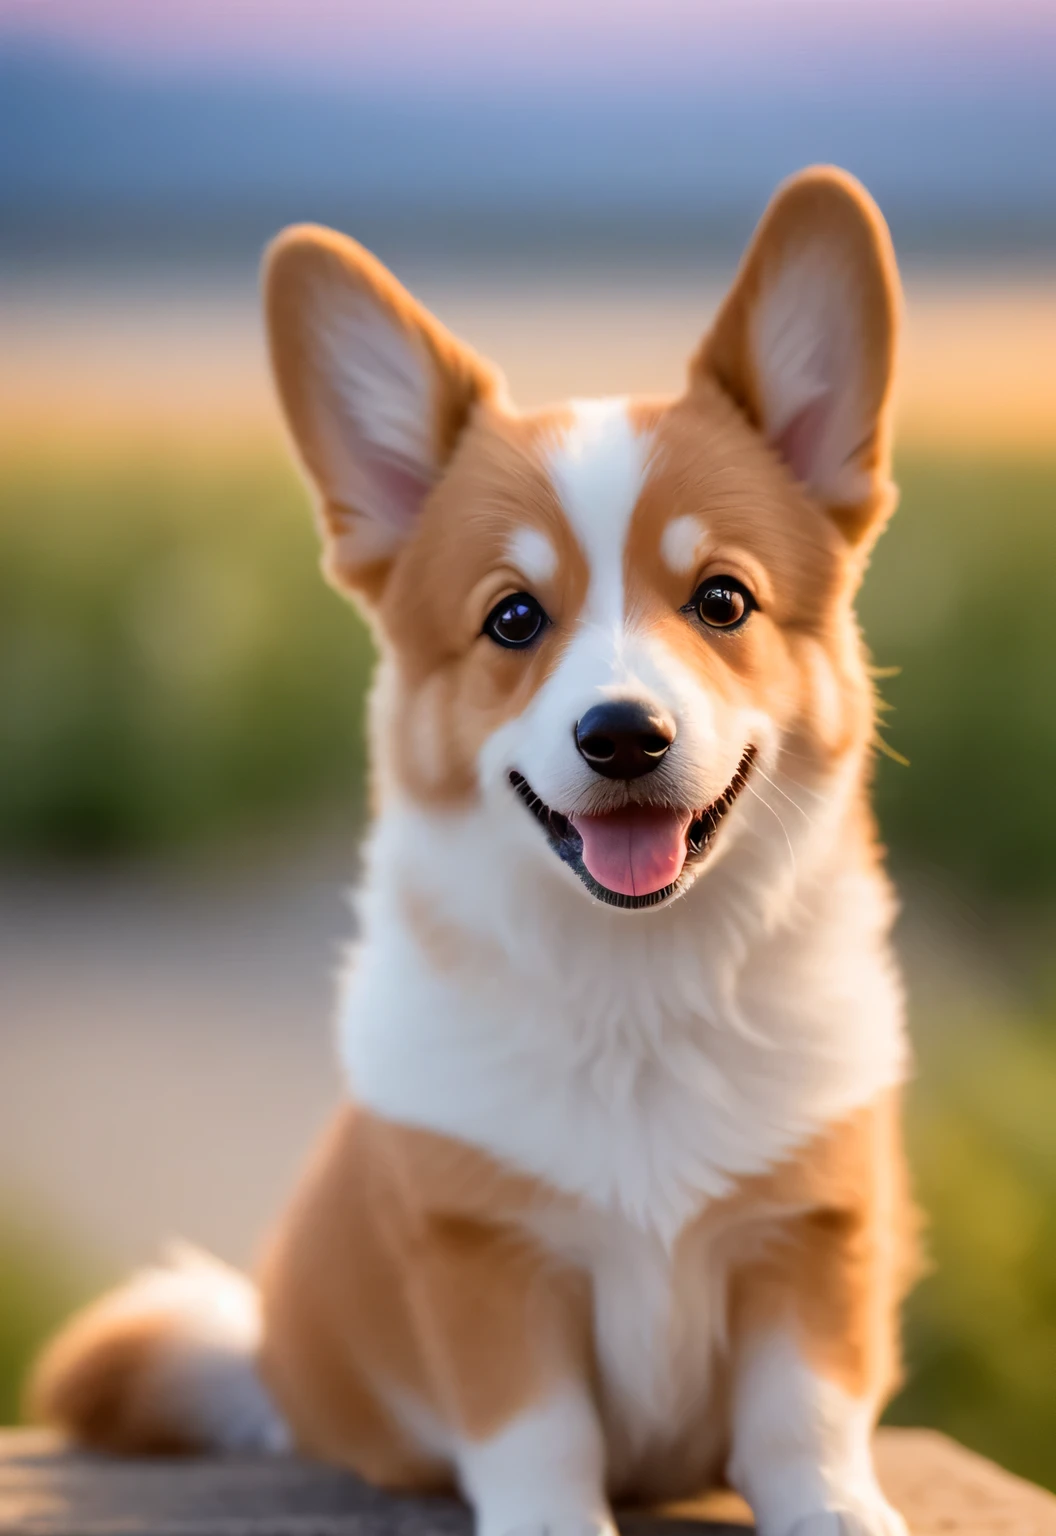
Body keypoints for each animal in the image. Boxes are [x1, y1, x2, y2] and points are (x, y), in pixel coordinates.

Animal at [30, 165, 914, 1536]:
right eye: (513, 618)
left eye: (722, 599)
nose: (623, 735)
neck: (636, 987)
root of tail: (271, 1359)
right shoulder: (480, 1254)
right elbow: (540, 1440)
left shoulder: (816, 1230)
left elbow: (804, 1424)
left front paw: (840, 1513)